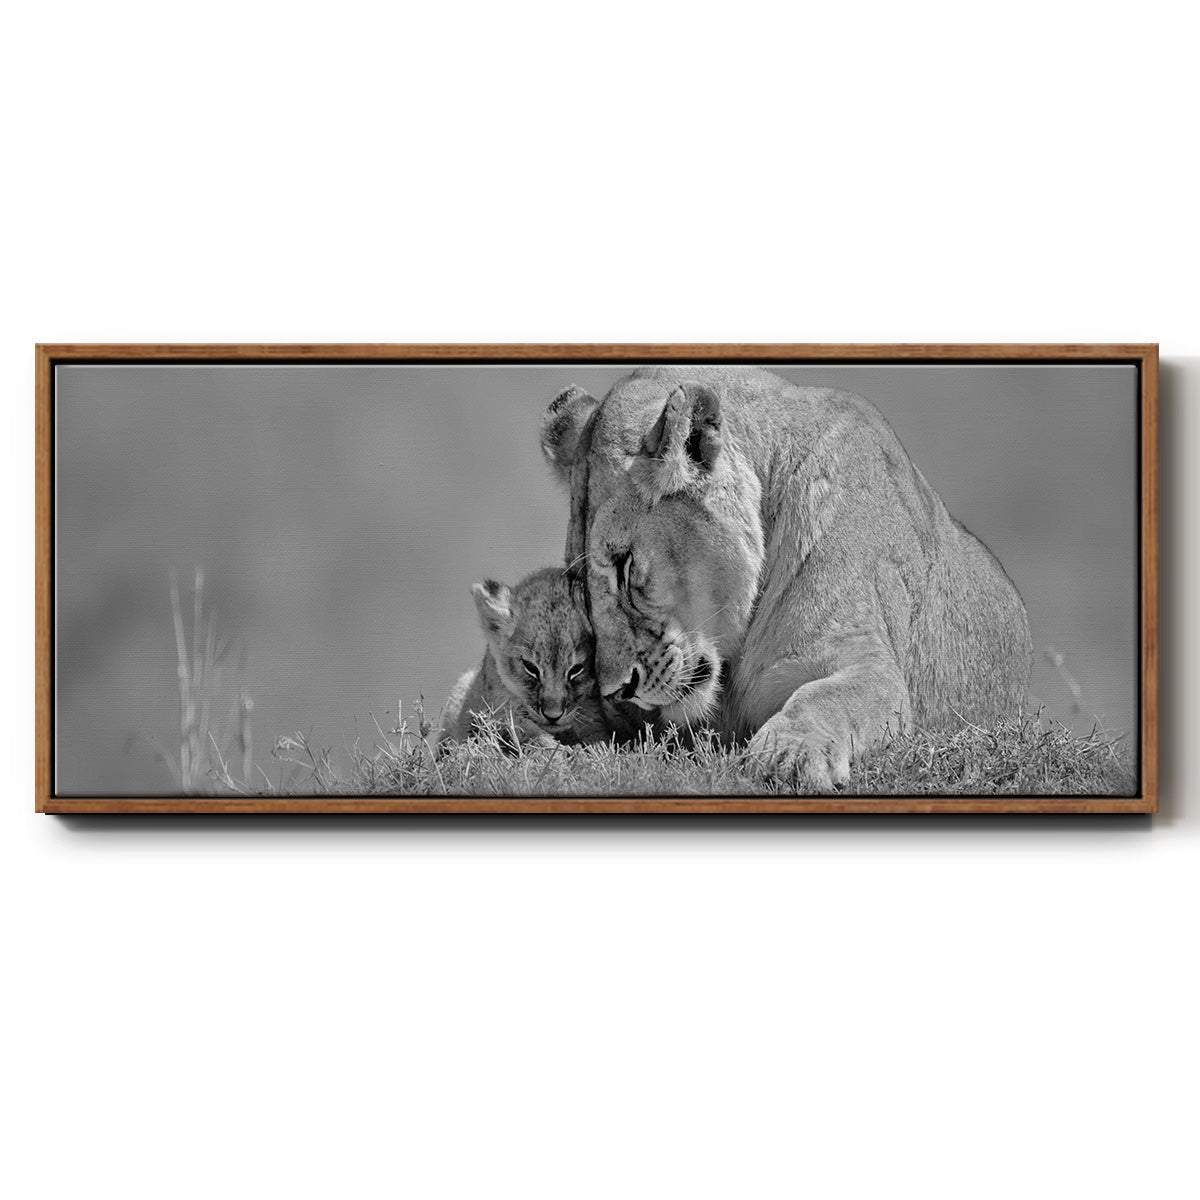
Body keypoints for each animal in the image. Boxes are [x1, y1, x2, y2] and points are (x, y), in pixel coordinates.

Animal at [540, 366, 1033, 789]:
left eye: (624, 565)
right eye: (581, 584)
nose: (616, 691)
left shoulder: (867, 662)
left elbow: (826, 697)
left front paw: (788, 754)